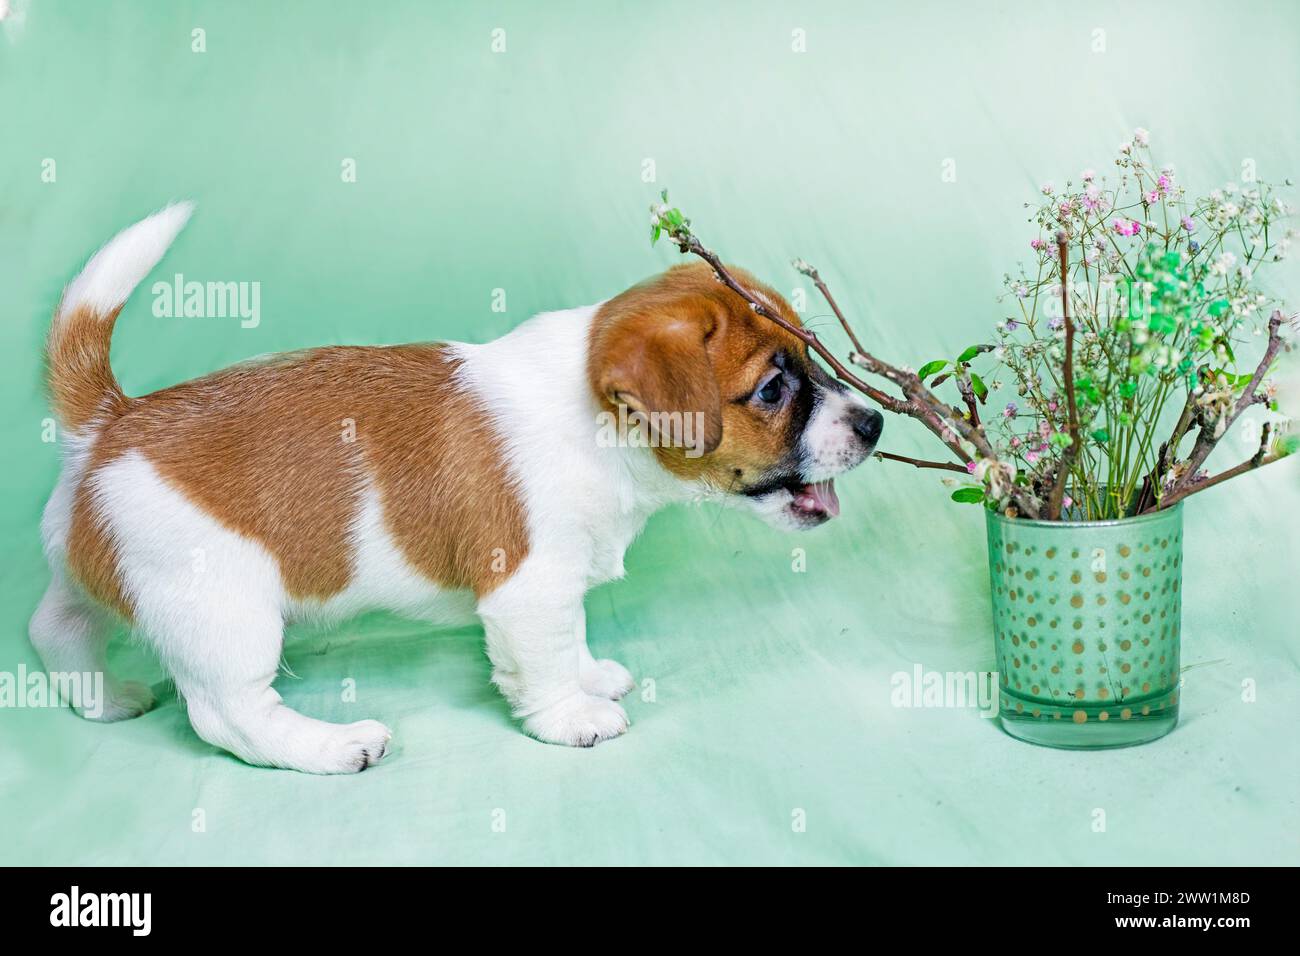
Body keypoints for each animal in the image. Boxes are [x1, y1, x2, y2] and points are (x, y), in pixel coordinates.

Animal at [30, 205, 883, 775]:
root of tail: (113, 422)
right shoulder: (529, 588)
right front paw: (572, 716)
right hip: (224, 613)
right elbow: (543, 660)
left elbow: (569, 638)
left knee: (56, 629)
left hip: (102, 578)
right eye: (774, 389)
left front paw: (588, 674)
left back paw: (102, 699)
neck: (598, 423)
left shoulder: (559, 584)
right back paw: (333, 746)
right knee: (228, 716)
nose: (875, 422)